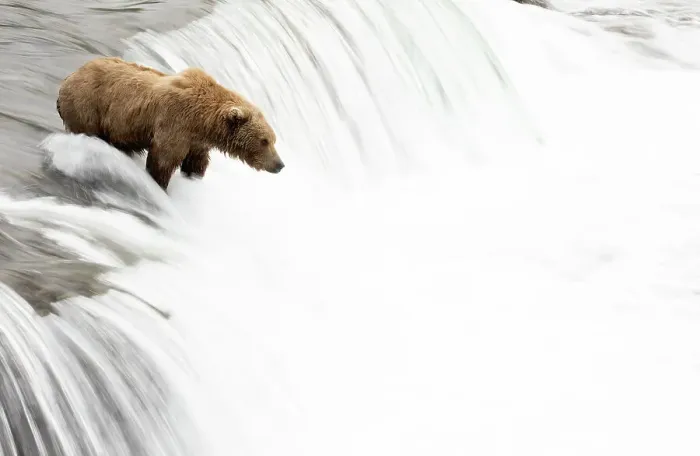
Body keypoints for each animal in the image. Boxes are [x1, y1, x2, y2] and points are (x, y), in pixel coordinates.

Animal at [56, 57, 284, 191]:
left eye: (273, 140)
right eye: (264, 141)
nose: (279, 164)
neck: (205, 122)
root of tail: (68, 78)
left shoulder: (197, 141)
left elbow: (196, 162)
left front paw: (193, 177)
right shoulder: (175, 124)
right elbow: (162, 161)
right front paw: (160, 185)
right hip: (87, 107)